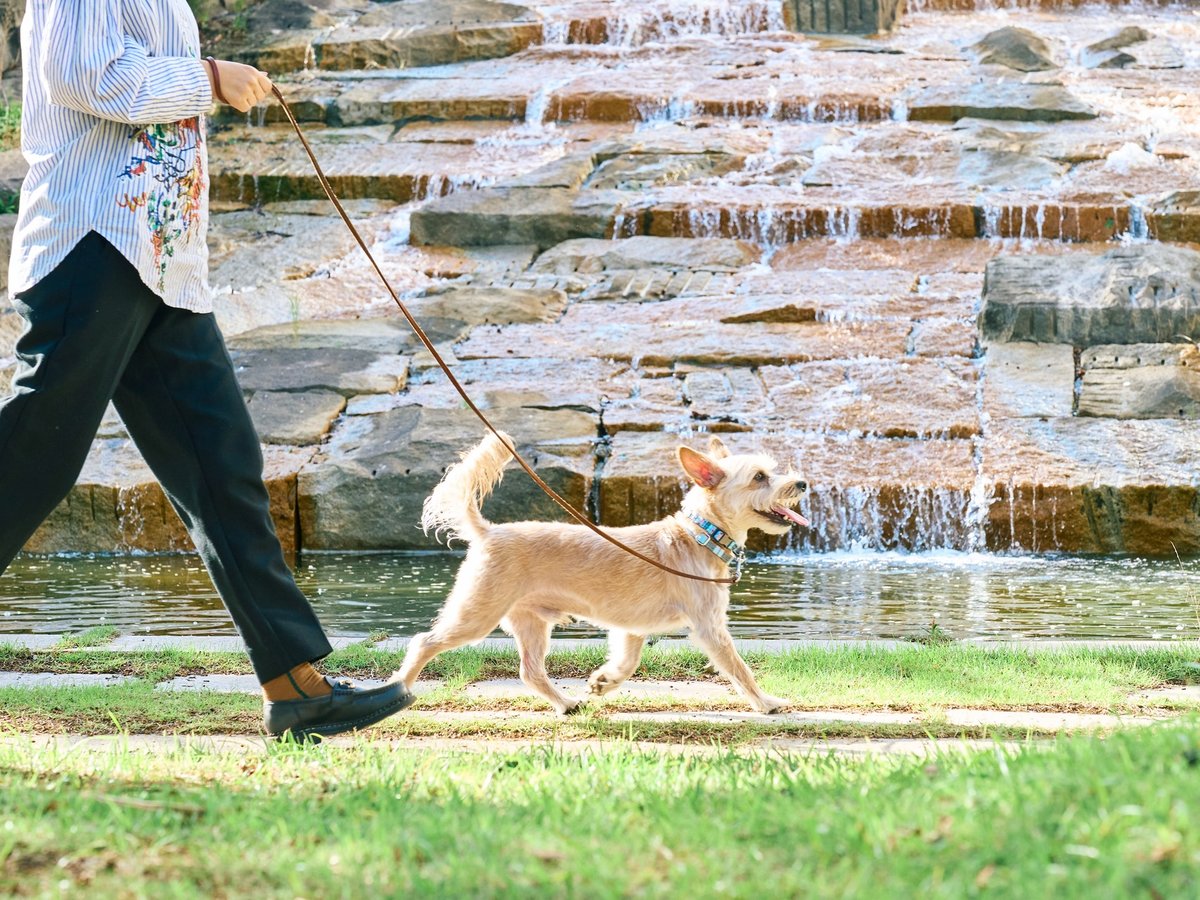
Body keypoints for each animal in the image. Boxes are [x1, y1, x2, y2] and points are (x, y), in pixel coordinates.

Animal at [392, 432, 809, 715]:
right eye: (759, 477)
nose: (802, 482)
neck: (698, 535)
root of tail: (489, 531)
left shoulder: (632, 630)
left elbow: (627, 663)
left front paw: (603, 682)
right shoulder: (710, 627)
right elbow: (739, 669)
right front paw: (766, 702)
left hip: (531, 624)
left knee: (530, 671)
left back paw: (564, 703)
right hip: (476, 615)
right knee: (423, 643)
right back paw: (400, 689)